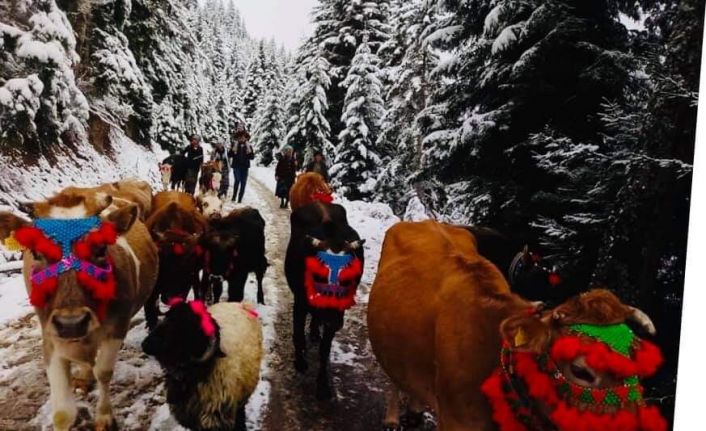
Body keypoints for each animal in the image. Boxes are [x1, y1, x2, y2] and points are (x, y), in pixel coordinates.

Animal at [0, 187, 155, 430]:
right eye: (36, 253)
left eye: (100, 249)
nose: (71, 323)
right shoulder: (50, 335)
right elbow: (63, 413)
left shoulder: (118, 327)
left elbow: (104, 372)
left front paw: (104, 417)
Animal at [284, 202, 366, 402]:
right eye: (319, 274)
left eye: (349, 278)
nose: (332, 321)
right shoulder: (300, 302)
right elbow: (298, 334)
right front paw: (300, 362)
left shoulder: (338, 313)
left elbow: (325, 349)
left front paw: (323, 386)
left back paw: (315, 332)